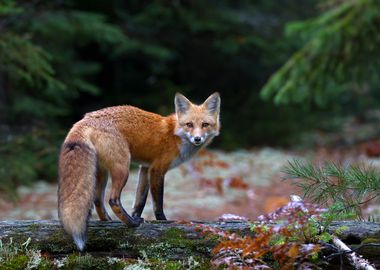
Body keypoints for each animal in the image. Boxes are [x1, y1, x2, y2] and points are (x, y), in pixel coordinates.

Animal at [58, 93, 221, 251]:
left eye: (205, 125)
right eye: (189, 124)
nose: (197, 139)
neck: (175, 135)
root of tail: (86, 119)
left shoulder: (145, 168)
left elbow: (140, 201)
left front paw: (137, 215)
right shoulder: (157, 169)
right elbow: (158, 203)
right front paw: (163, 222)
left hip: (102, 172)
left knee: (97, 199)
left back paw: (110, 221)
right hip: (123, 168)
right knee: (113, 200)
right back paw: (131, 223)